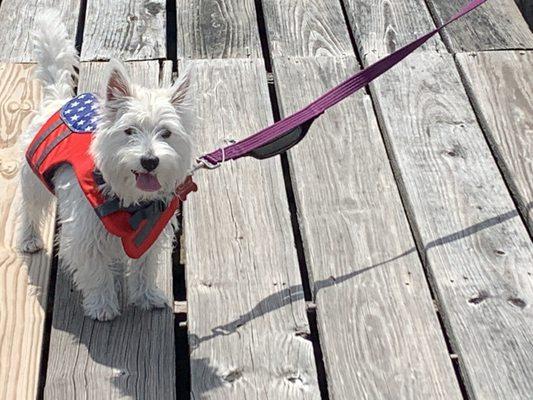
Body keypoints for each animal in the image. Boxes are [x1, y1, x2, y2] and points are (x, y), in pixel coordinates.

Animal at [16, 10, 195, 322]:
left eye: (166, 133)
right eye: (129, 131)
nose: (150, 160)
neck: (130, 201)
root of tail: (58, 100)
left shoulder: (150, 235)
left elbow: (144, 268)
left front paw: (147, 296)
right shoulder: (84, 234)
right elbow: (95, 272)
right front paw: (102, 306)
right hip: (34, 180)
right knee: (30, 208)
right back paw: (29, 239)